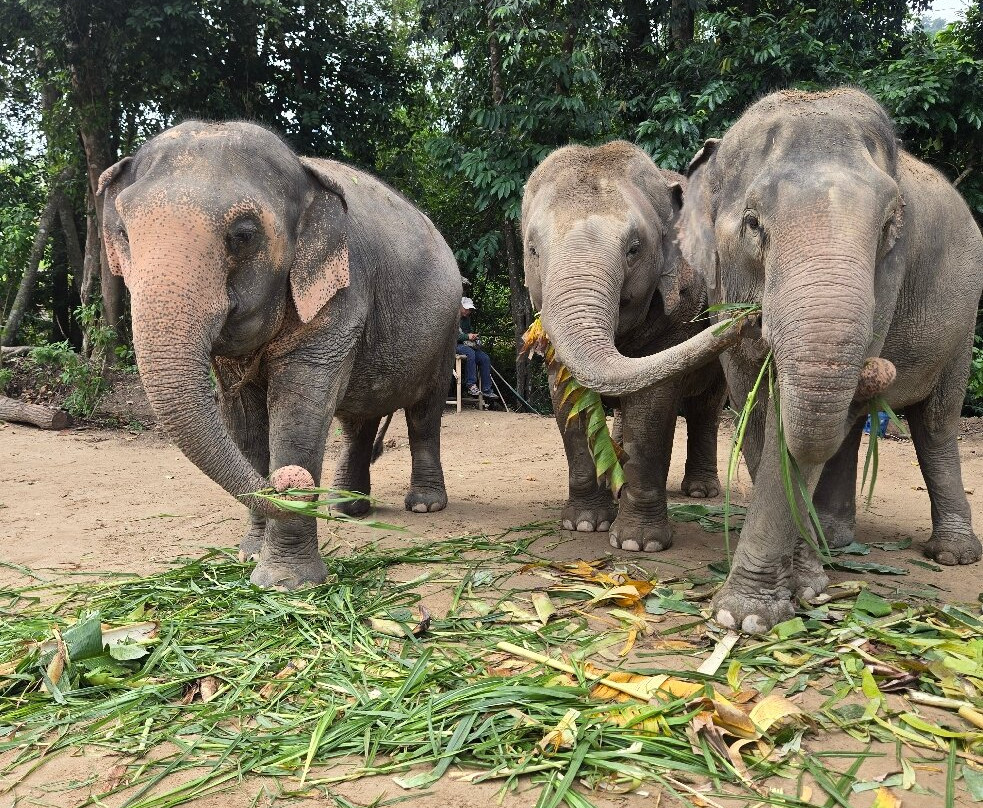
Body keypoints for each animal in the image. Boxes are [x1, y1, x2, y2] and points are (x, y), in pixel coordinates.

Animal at [98, 121, 462, 590]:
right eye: (124, 234)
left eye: (244, 236)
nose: (289, 484)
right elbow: (244, 422)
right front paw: (248, 555)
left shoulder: (343, 292)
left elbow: (299, 410)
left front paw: (288, 583)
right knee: (356, 420)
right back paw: (345, 508)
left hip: (446, 330)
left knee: (424, 412)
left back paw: (424, 504)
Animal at [521, 141, 729, 551]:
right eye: (533, 249)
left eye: (634, 249)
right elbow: (567, 395)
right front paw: (584, 524)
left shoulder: (678, 313)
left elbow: (652, 405)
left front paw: (638, 544)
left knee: (706, 407)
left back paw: (700, 491)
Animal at [563, 88, 983, 631]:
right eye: (752, 224)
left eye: (890, 228)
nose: (747, 318)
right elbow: (760, 407)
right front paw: (782, 596)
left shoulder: (888, 284)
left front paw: (755, 611)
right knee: (850, 428)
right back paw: (835, 539)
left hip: (964, 318)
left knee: (935, 423)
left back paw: (951, 554)